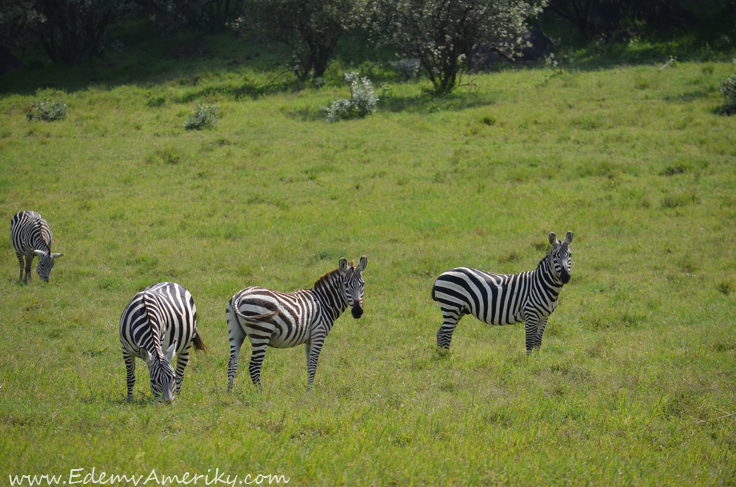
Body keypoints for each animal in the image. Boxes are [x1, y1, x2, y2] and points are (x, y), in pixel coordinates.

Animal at [226, 255, 366, 392]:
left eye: (363, 284)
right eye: (346, 285)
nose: (358, 312)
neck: (324, 302)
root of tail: (239, 296)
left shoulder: (309, 340)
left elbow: (309, 364)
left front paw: (308, 390)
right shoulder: (318, 334)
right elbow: (313, 365)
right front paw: (310, 393)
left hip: (235, 332)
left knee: (232, 363)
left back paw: (229, 393)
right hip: (261, 333)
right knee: (254, 366)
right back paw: (260, 394)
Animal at [432, 233, 576, 354]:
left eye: (569, 255)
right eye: (555, 255)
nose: (565, 277)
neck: (542, 285)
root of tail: (442, 274)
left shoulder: (544, 317)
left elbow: (538, 342)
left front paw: (537, 360)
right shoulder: (530, 314)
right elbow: (530, 342)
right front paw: (529, 362)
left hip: (458, 310)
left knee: (441, 332)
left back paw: (442, 354)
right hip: (451, 306)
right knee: (445, 333)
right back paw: (445, 357)